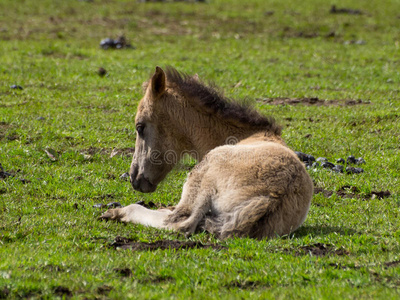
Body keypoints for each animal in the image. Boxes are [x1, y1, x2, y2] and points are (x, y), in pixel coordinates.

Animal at [99, 66, 312, 239]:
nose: (135, 178)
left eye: (140, 127)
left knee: (179, 223)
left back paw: (119, 212)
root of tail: (271, 197)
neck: (249, 134)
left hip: (203, 176)